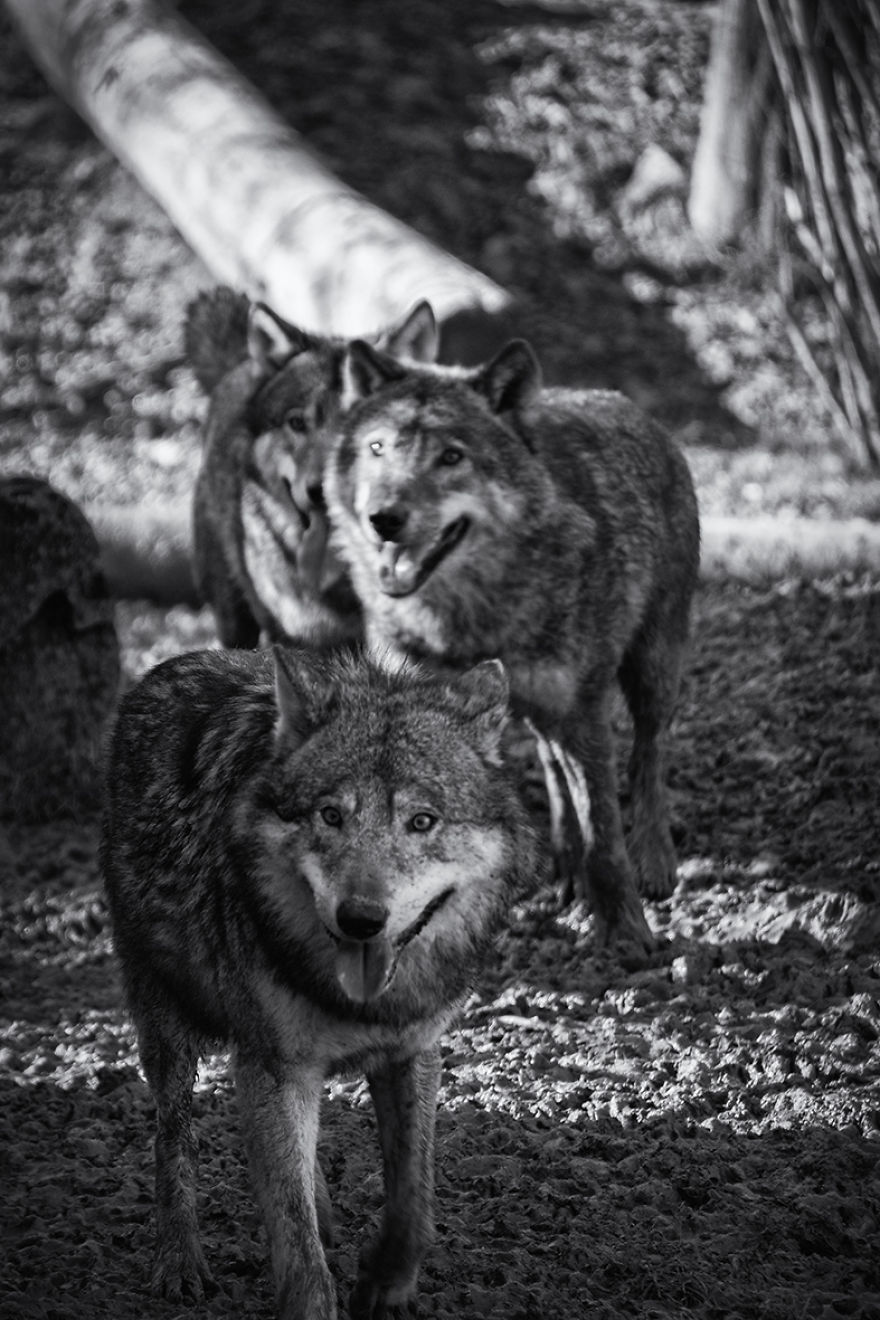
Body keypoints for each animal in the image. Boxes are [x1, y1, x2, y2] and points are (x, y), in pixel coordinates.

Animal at [102, 644, 538, 1320]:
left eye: (422, 821)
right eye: (331, 816)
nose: (360, 918)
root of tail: (172, 662)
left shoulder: (413, 1053)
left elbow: (415, 1197)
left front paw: (385, 1283)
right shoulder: (274, 1067)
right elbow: (295, 1243)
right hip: (167, 1026)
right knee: (174, 1141)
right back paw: (179, 1262)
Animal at [324, 338, 701, 952]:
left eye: (451, 457)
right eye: (377, 448)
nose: (384, 519)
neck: (468, 618)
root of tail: (623, 400)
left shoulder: (583, 714)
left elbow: (604, 835)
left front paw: (625, 934)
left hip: (652, 669)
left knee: (648, 754)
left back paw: (655, 860)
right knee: (552, 768)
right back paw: (563, 871)